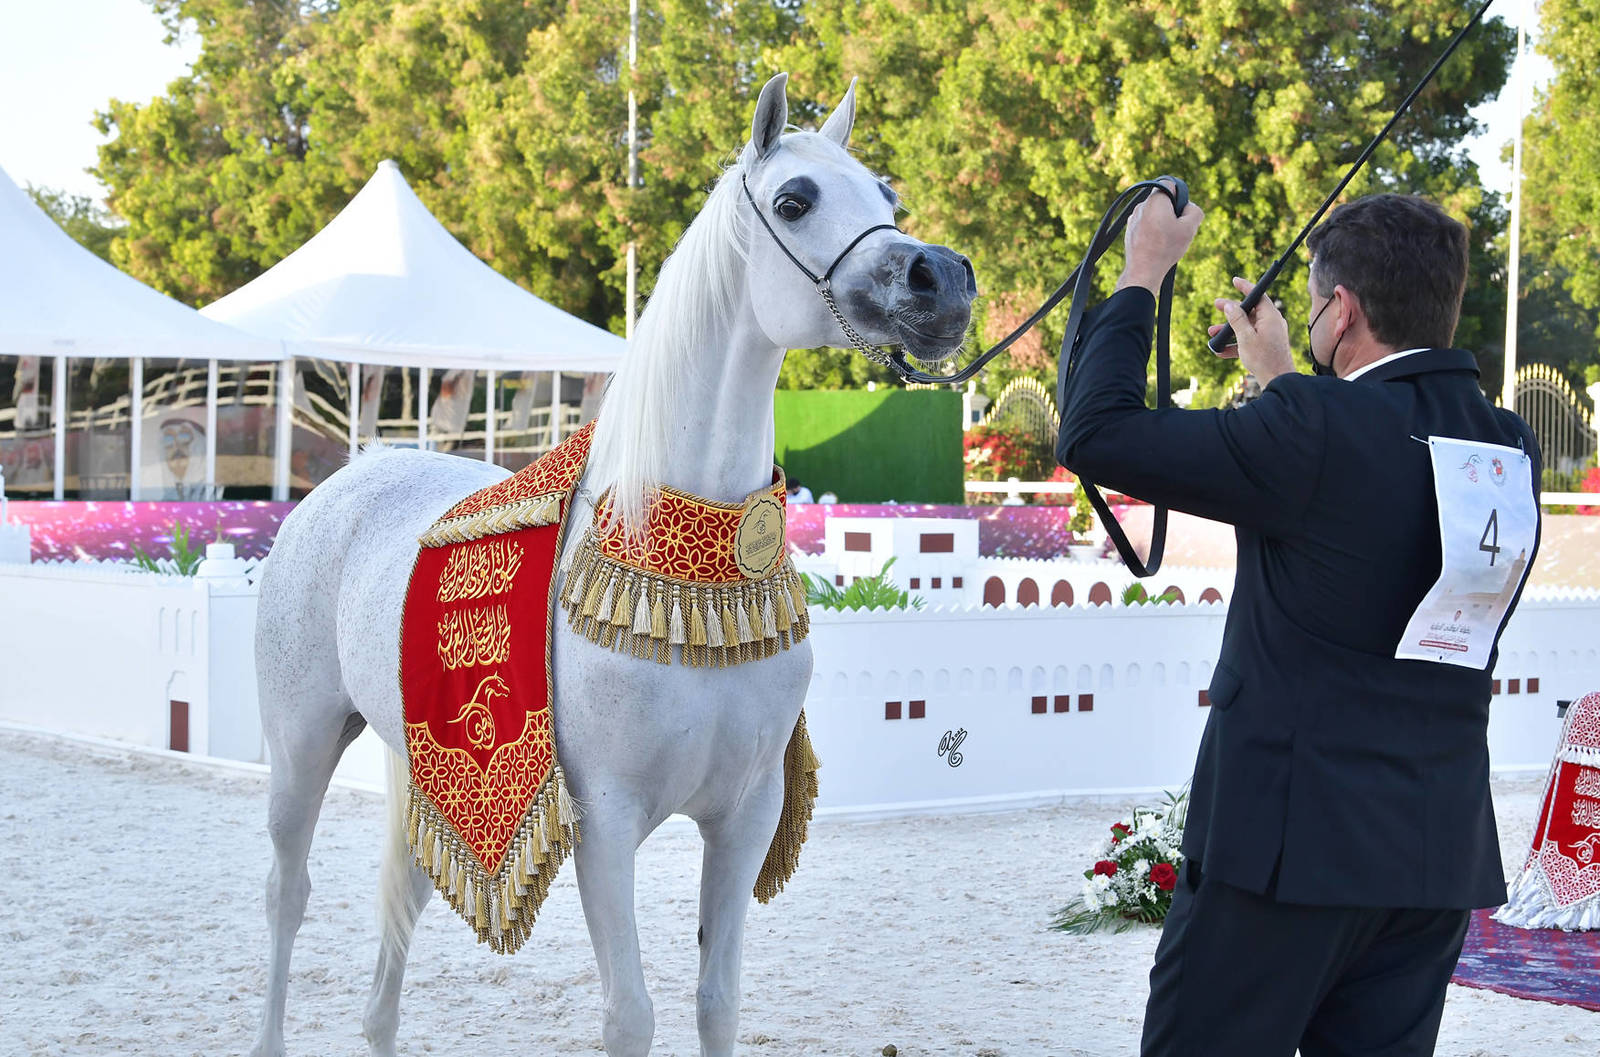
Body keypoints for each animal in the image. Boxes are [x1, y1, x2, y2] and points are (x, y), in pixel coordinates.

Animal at [248, 72, 977, 1057]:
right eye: (795, 199)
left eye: (888, 198)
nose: (943, 281)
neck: (686, 558)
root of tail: (345, 482)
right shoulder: (604, 821)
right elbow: (631, 1014)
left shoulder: (743, 817)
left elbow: (717, 999)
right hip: (300, 746)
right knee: (287, 897)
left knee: (396, 924)